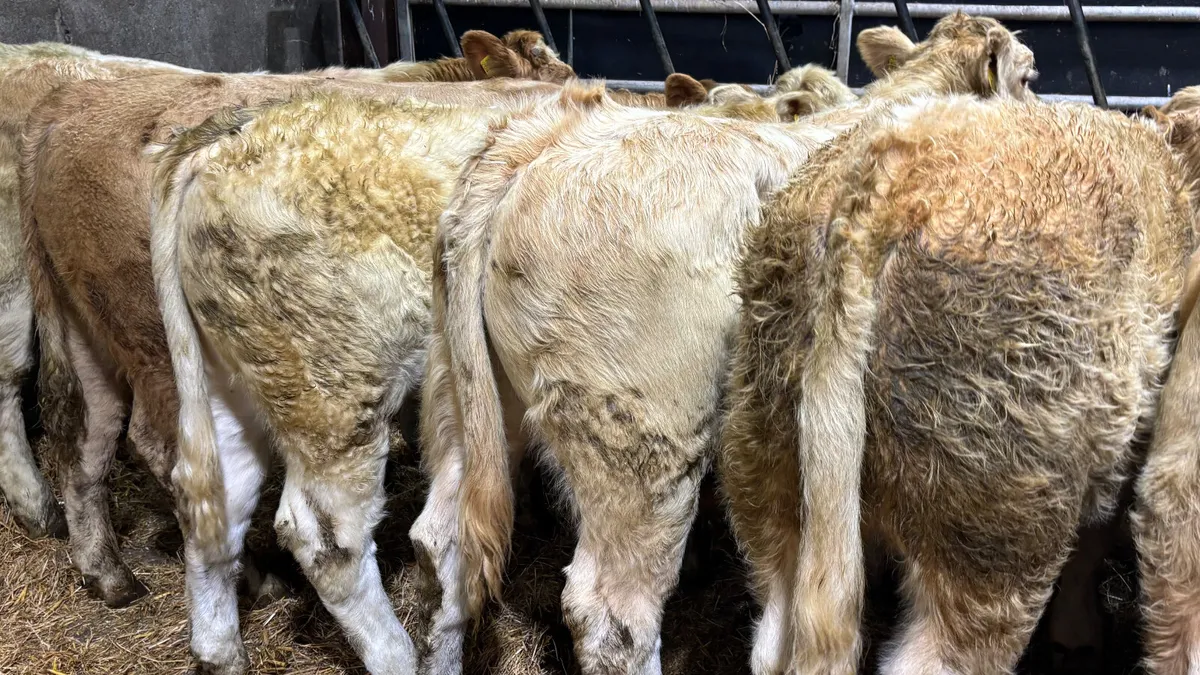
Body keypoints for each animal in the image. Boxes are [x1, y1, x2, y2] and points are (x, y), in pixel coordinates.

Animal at [413, 13, 1036, 675]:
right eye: (1029, 76)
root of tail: (539, 141)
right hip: (640, 438)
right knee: (613, 616)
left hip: (462, 394)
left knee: (442, 545)